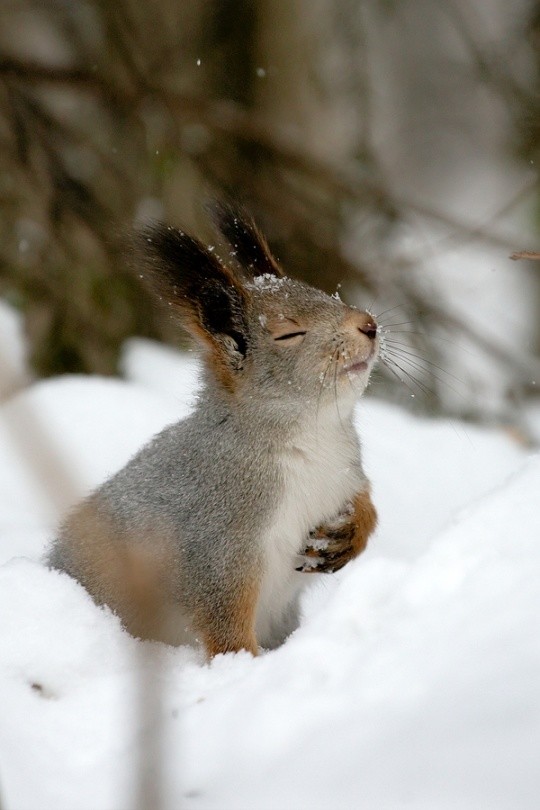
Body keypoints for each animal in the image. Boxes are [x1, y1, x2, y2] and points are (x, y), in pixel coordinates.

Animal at [47, 204, 380, 656]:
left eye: (326, 294)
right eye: (289, 333)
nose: (369, 324)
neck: (313, 436)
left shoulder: (346, 472)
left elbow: (366, 503)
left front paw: (351, 533)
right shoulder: (218, 540)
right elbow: (223, 619)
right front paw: (243, 664)